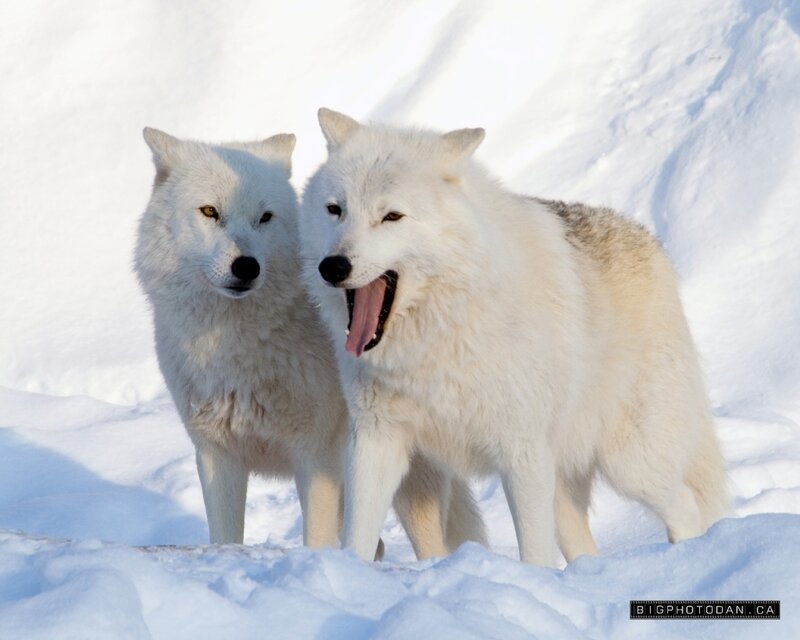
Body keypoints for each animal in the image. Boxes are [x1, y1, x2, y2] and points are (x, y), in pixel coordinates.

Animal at [135, 128, 486, 557]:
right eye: (209, 212)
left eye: (265, 217)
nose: (246, 266)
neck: (237, 347)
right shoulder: (217, 455)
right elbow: (226, 539)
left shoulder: (315, 456)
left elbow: (315, 540)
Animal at [298, 109, 728, 566]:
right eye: (335, 210)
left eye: (391, 217)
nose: (333, 266)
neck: (440, 336)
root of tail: (651, 243)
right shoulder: (376, 442)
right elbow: (357, 538)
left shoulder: (522, 452)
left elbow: (534, 554)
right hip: (565, 490)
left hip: (630, 464)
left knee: (687, 507)